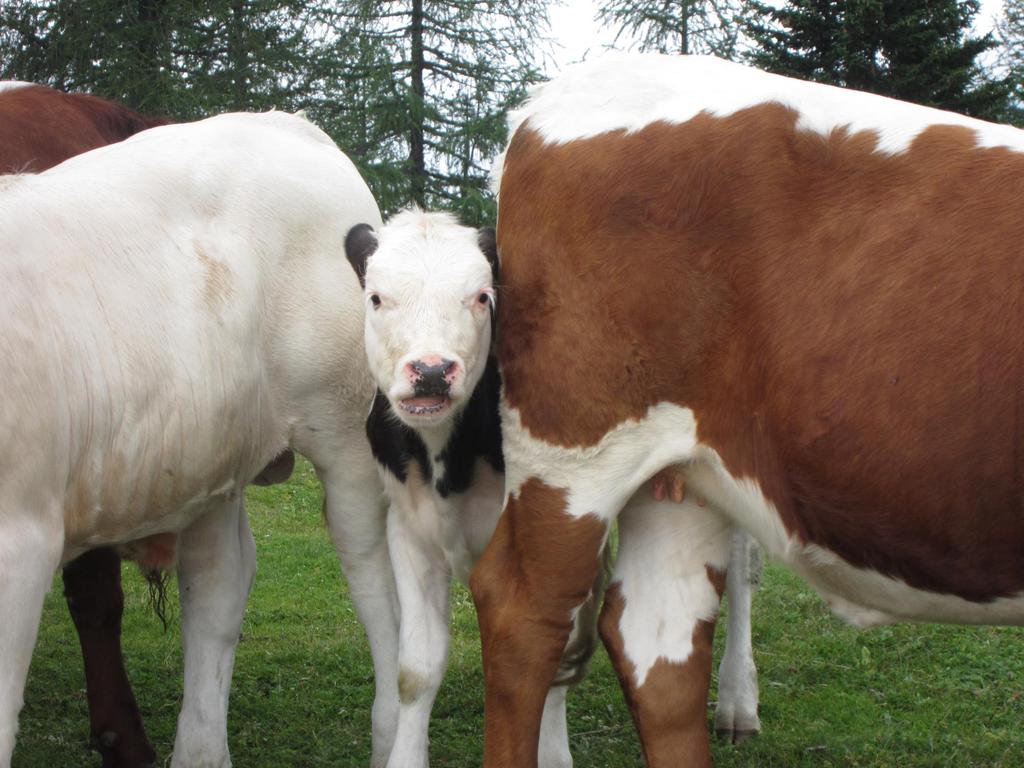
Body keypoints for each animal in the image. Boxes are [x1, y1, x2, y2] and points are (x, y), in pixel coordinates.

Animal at [0, 111, 403, 765]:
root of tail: (286, 120)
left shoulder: (22, 536)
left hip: (348, 435)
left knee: (376, 580)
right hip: (210, 455)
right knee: (219, 586)